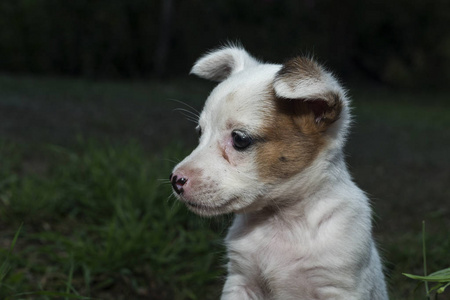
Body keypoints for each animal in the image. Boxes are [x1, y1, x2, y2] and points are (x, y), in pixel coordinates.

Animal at [171, 45, 388, 298]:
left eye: (240, 139)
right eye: (200, 132)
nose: (175, 180)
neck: (280, 221)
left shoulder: (340, 286)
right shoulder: (241, 282)